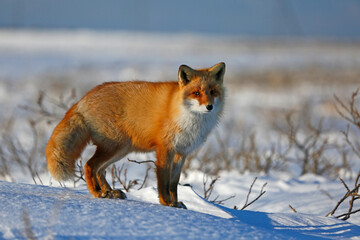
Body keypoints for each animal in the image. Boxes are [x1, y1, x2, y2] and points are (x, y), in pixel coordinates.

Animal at [45, 62, 225, 208]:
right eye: (196, 93)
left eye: (212, 92)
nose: (209, 107)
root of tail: (83, 98)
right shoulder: (165, 149)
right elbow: (164, 181)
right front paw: (166, 202)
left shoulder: (182, 152)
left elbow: (174, 183)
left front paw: (175, 203)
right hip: (114, 147)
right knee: (90, 166)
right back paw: (97, 193)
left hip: (121, 149)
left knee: (100, 170)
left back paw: (110, 192)